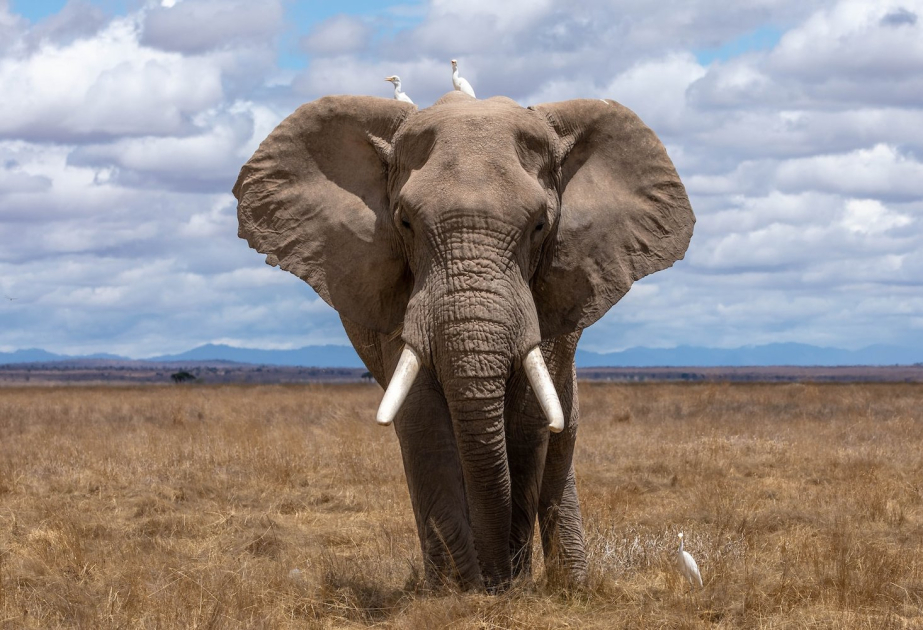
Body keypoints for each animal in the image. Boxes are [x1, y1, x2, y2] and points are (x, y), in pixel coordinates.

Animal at [233, 91, 694, 591]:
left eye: (540, 225)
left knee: (561, 436)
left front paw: (507, 586)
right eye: (405, 223)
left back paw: (571, 585)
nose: (496, 581)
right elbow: (423, 421)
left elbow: (528, 422)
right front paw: (459, 592)